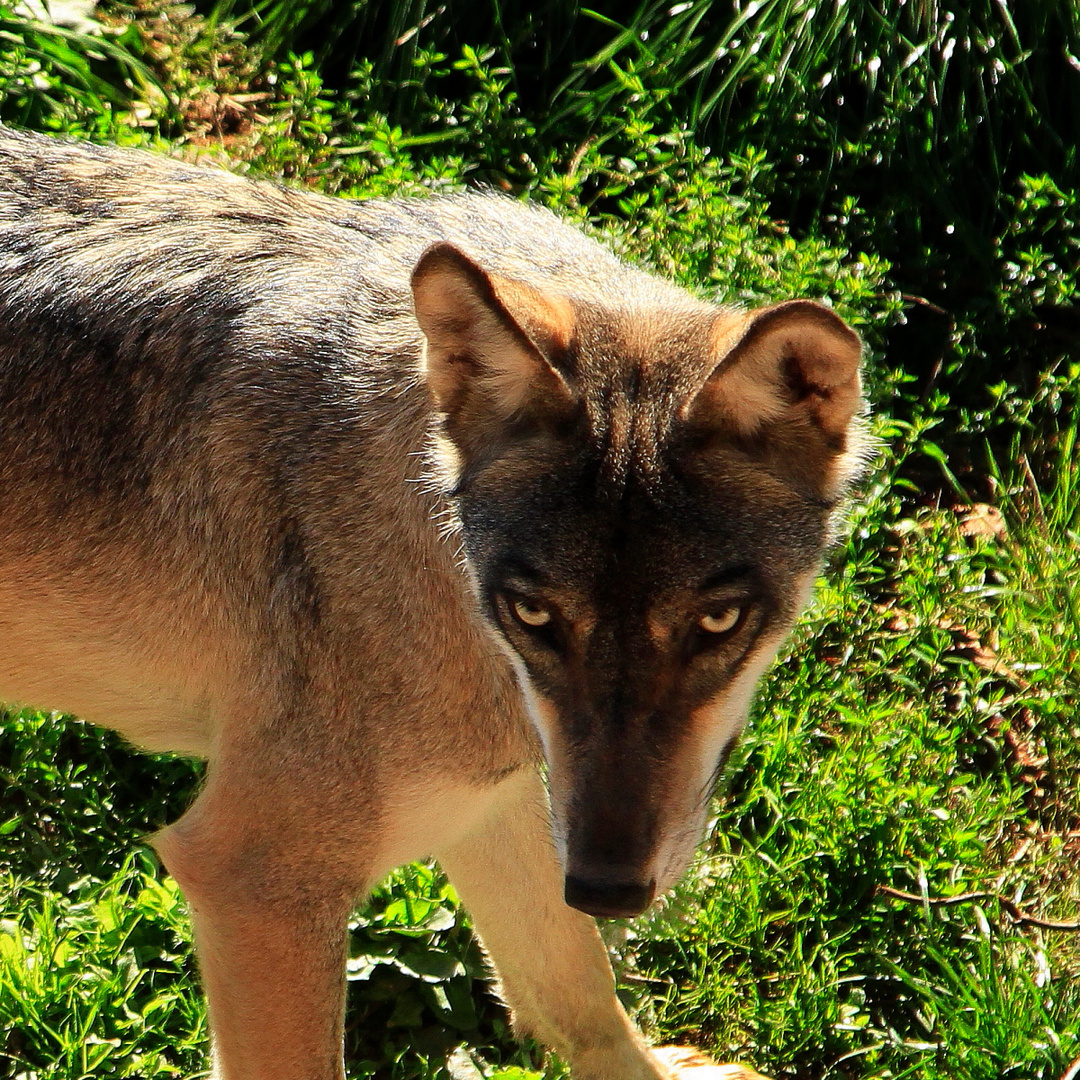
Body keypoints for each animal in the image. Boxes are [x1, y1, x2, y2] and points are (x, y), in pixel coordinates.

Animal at [0, 128, 864, 1080]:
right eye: (534, 616)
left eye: (716, 623)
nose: (608, 891)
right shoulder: (255, 877)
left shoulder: (495, 797)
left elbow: (576, 995)